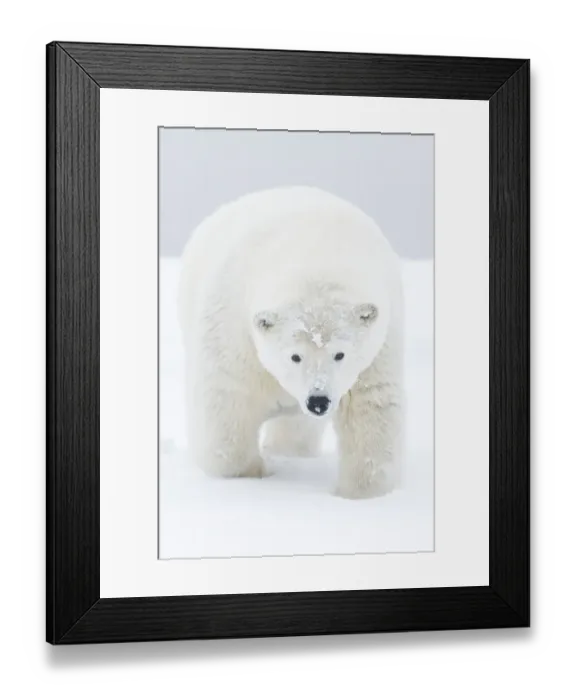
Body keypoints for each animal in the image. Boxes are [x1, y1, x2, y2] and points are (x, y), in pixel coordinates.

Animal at [177, 185, 404, 499]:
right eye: (295, 356)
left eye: (340, 354)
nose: (318, 400)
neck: (313, 255)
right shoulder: (235, 335)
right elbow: (228, 408)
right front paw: (252, 474)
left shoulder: (378, 349)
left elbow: (370, 408)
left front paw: (356, 492)